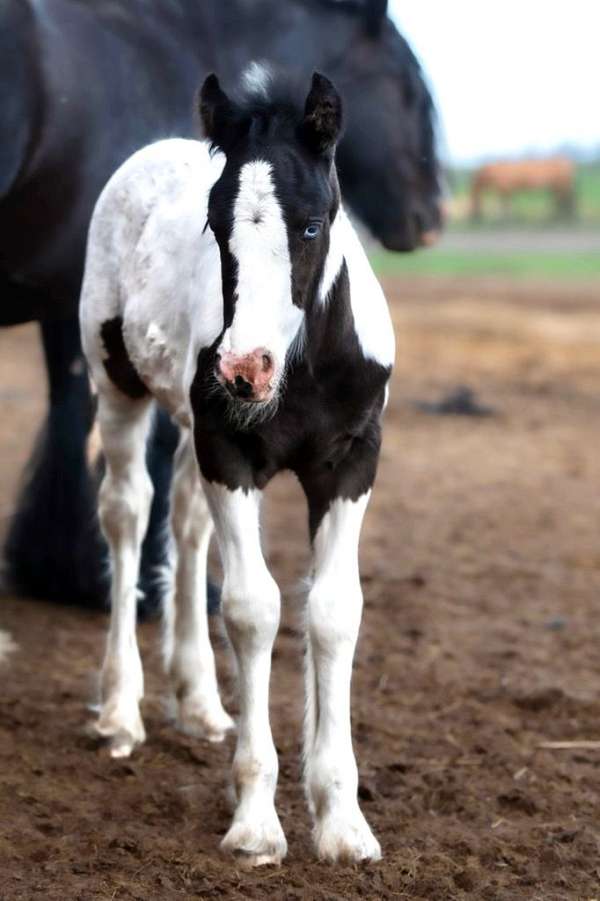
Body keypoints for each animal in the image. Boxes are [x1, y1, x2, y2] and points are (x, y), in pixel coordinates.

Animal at [81, 68, 394, 864]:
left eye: (312, 225)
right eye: (217, 227)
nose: (243, 369)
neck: (302, 369)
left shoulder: (351, 463)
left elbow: (333, 611)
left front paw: (342, 822)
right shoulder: (232, 454)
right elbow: (254, 609)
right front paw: (256, 822)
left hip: (197, 431)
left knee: (187, 525)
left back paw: (199, 703)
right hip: (119, 386)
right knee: (128, 512)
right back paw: (121, 711)